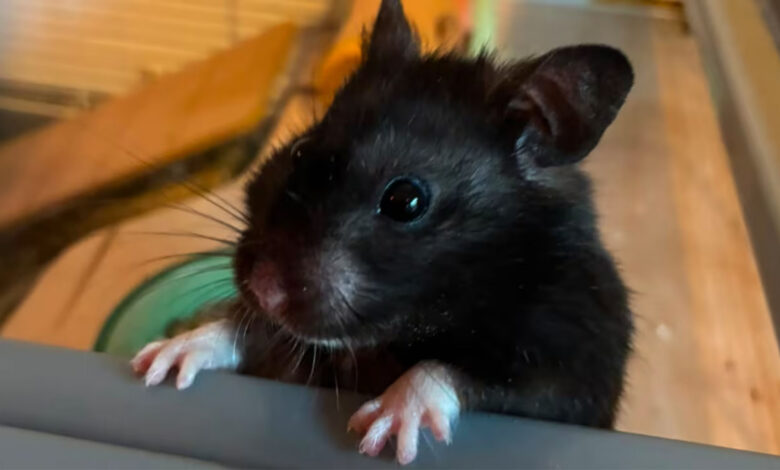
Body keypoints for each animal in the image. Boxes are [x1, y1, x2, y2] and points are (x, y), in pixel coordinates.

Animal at [132, 0, 634, 464]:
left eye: (405, 200)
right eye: (298, 152)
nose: (265, 290)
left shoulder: (570, 370)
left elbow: (453, 372)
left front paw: (379, 434)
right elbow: (246, 331)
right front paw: (160, 362)